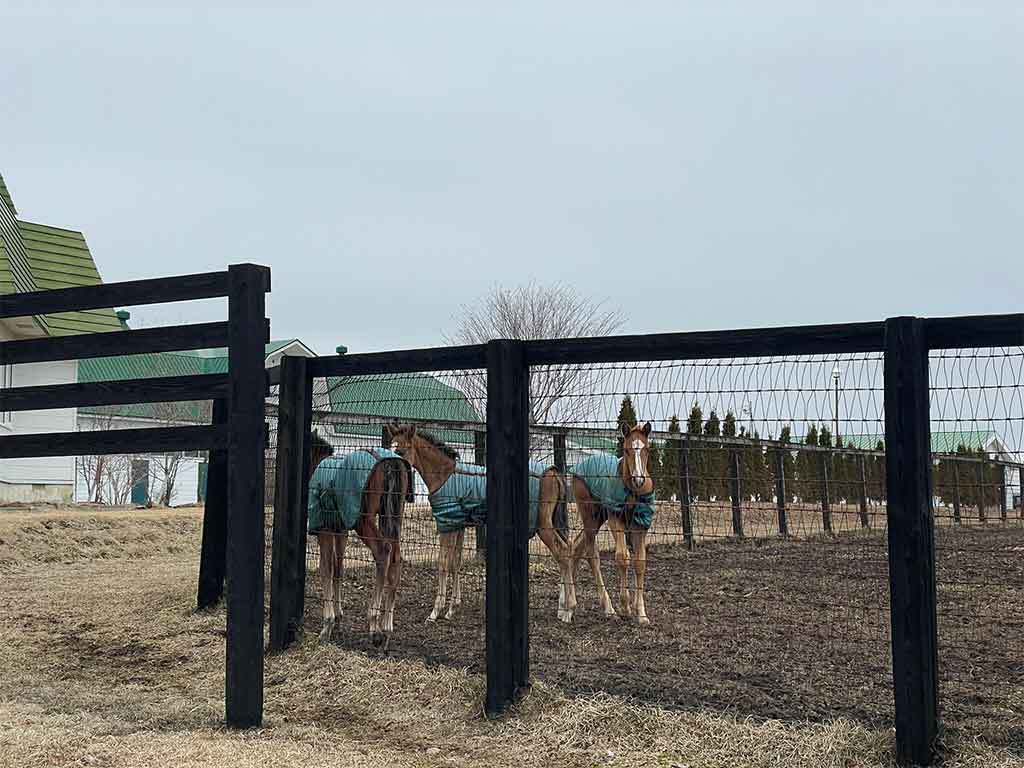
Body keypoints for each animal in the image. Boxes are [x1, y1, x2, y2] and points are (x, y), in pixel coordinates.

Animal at [306, 430, 415, 649]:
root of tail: (390, 462)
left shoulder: (325, 530)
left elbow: (326, 569)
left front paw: (327, 625)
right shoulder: (341, 531)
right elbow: (338, 569)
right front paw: (338, 618)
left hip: (364, 521)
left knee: (383, 551)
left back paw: (374, 626)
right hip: (393, 517)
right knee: (396, 559)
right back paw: (387, 628)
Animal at [387, 424, 575, 623]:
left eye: (400, 450)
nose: (391, 470)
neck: (444, 475)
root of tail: (553, 472)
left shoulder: (447, 524)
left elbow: (443, 563)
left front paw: (435, 612)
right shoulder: (458, 525)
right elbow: (456, 562)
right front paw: (452, 608)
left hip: (543, 524)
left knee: (562, 552)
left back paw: (569, 610)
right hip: (554, 521)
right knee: (567, 550)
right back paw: (562, 608)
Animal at [565, 421, 657, 625]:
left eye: (646, 449)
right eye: (627, 450)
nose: (639, 479)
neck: (631, 492)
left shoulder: (641, 524)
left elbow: (640, 561)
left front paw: (641, 614)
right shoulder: (616, 520)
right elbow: (622, 557)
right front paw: (625, 607)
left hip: (599, 517)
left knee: (575, 547)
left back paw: (566, 608)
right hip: (589, 516)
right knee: (591, 555)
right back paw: (608, 609)